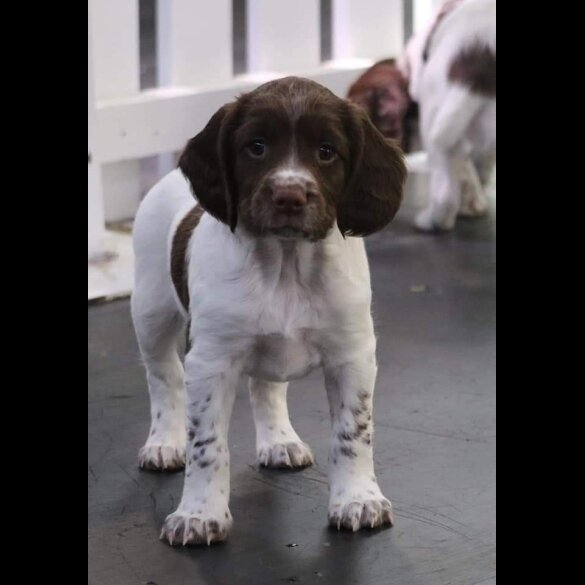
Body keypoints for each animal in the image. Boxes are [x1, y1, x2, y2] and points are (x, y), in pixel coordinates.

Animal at [132, 76, 406, 544]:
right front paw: (199, 513)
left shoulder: (352, 356)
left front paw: (357, 500)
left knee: (266, 387)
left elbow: (352, 434)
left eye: (326, 151)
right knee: (164, 377)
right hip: (150, 313)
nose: (289, 195)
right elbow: (207, 445)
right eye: (256, 147)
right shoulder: (211, 360)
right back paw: (163, 442)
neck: (285, 264)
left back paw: (279, 439)